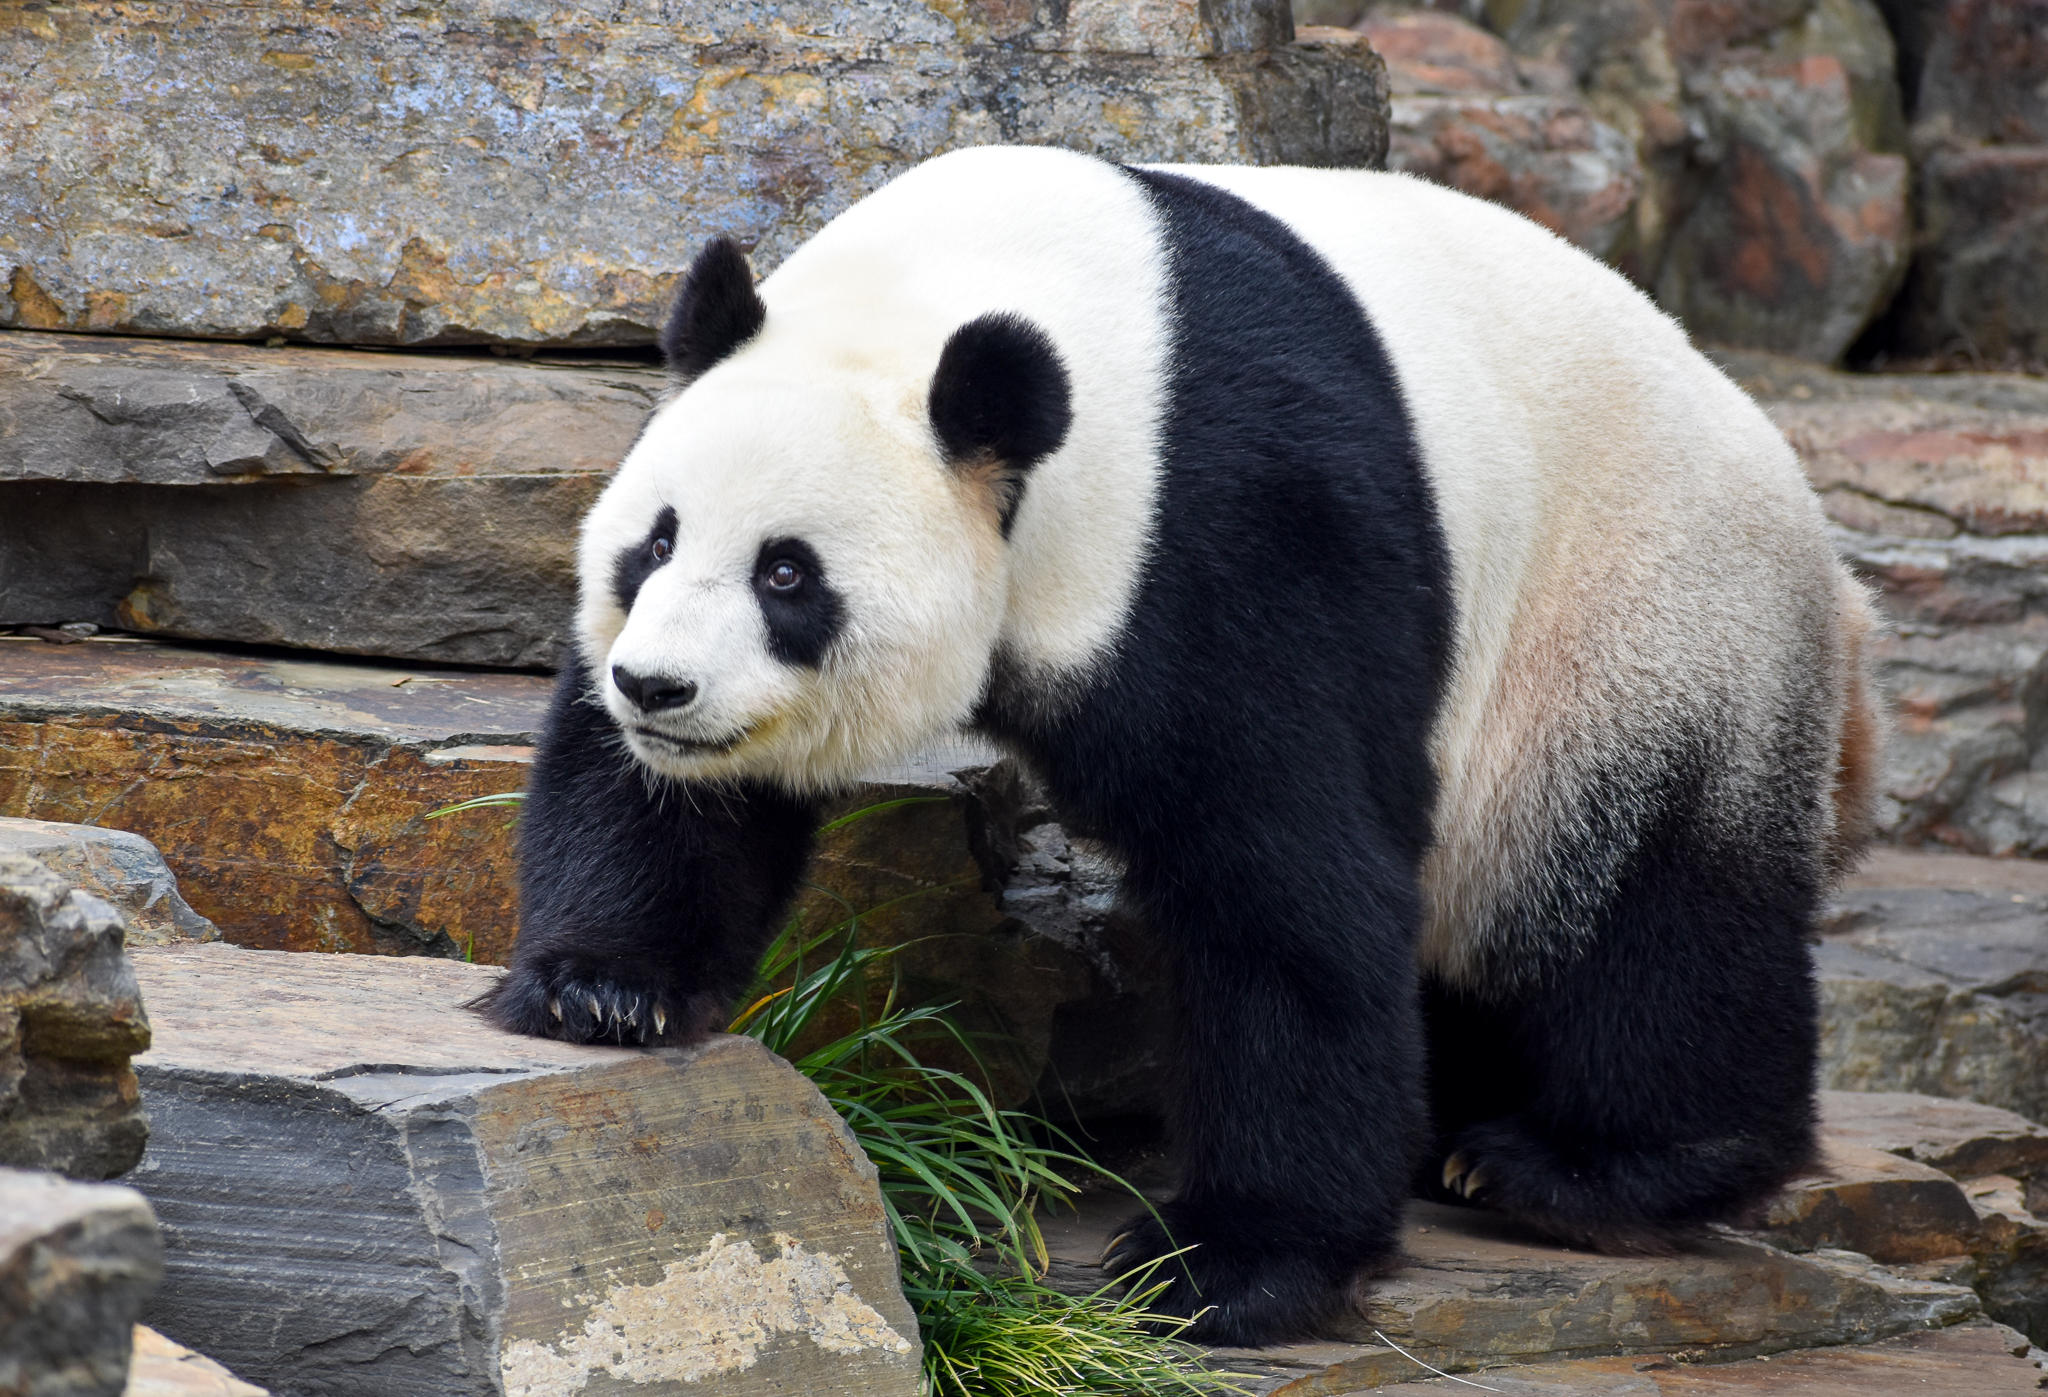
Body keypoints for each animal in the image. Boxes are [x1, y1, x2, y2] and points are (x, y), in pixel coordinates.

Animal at [482, 144, 1881, 1347]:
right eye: (655, 540)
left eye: (787, 574)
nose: (659, 685)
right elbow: (664, 802)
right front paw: (601, 986)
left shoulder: (1227, 517)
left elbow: (1284, 882)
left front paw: (1228, 1265)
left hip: (1642, 626)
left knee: (1646, 908)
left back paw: (1587, 1163)